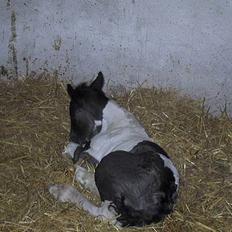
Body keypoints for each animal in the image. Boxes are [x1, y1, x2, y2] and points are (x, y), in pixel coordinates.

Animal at [48, 72, 179, 227]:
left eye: (72, 114)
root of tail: (162, 199)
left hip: (106, 163)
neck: (114, 123)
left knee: (105, 213)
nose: (73, 137)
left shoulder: (94, 149)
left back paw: (63, 190)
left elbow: (72, 150)